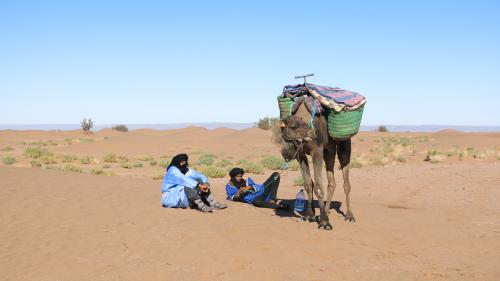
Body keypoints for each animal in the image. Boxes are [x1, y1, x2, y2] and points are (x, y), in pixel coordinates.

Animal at [282, 101, 356, 229]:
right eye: (294, 126)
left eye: (300, 124)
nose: (312, 134)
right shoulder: (301, 154)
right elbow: (308, 184)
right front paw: (310, 216)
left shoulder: (317, 151)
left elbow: (318, 186)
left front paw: (324, 222)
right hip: (329, 150)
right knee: (331, 183)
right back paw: (325, 212)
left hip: (344, 145)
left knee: (346, 182)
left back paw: (349, 216)